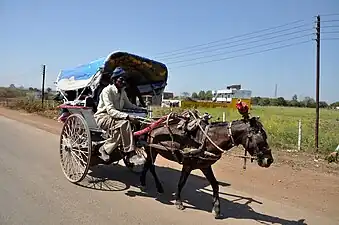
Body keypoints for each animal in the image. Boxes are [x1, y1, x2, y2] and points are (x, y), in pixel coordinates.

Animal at [137, 110, 274, 218]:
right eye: (260, 137)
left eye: (265, 136)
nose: (269, 160)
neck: (207, 139)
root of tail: (149, 123)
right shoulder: (188, 165)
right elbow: (181, 183)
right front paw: (178, 202)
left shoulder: (205, 166)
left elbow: (215, 185)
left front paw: (216, 209)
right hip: (151, 150)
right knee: (151, 166)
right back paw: (157, 186)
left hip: (153, 150)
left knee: (148, 165)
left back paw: (143, 181)